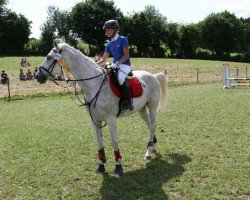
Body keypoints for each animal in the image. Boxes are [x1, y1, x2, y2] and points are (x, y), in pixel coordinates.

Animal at [35, 40, 168, 175]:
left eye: (48, 57)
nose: (37, 75)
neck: (95, 84)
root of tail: (153, 76)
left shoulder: (111, 119)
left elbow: (114, 141)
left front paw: (118, 166)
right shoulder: (95, 119)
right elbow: (99, 141)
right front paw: (101, 164)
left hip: (152, 106)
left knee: (153, 125)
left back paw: (148, 152)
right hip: (141, 109)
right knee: (149, 124)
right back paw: (152, 145)